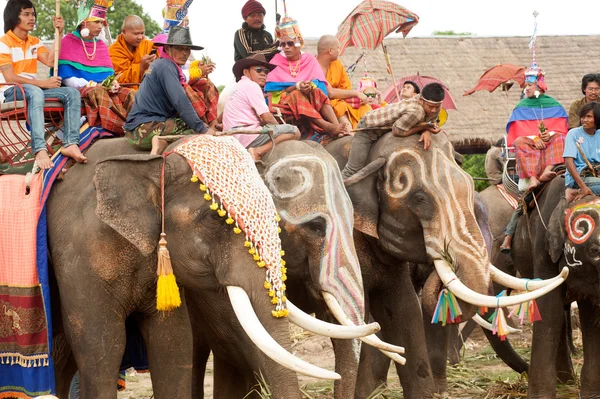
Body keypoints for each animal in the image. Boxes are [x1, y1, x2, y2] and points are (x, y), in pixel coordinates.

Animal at [478, 179, 600, 399]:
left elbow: (590, 316)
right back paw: (566, 382)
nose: (525, 372)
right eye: (593, 250)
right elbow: (548, 311)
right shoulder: (542, 245)